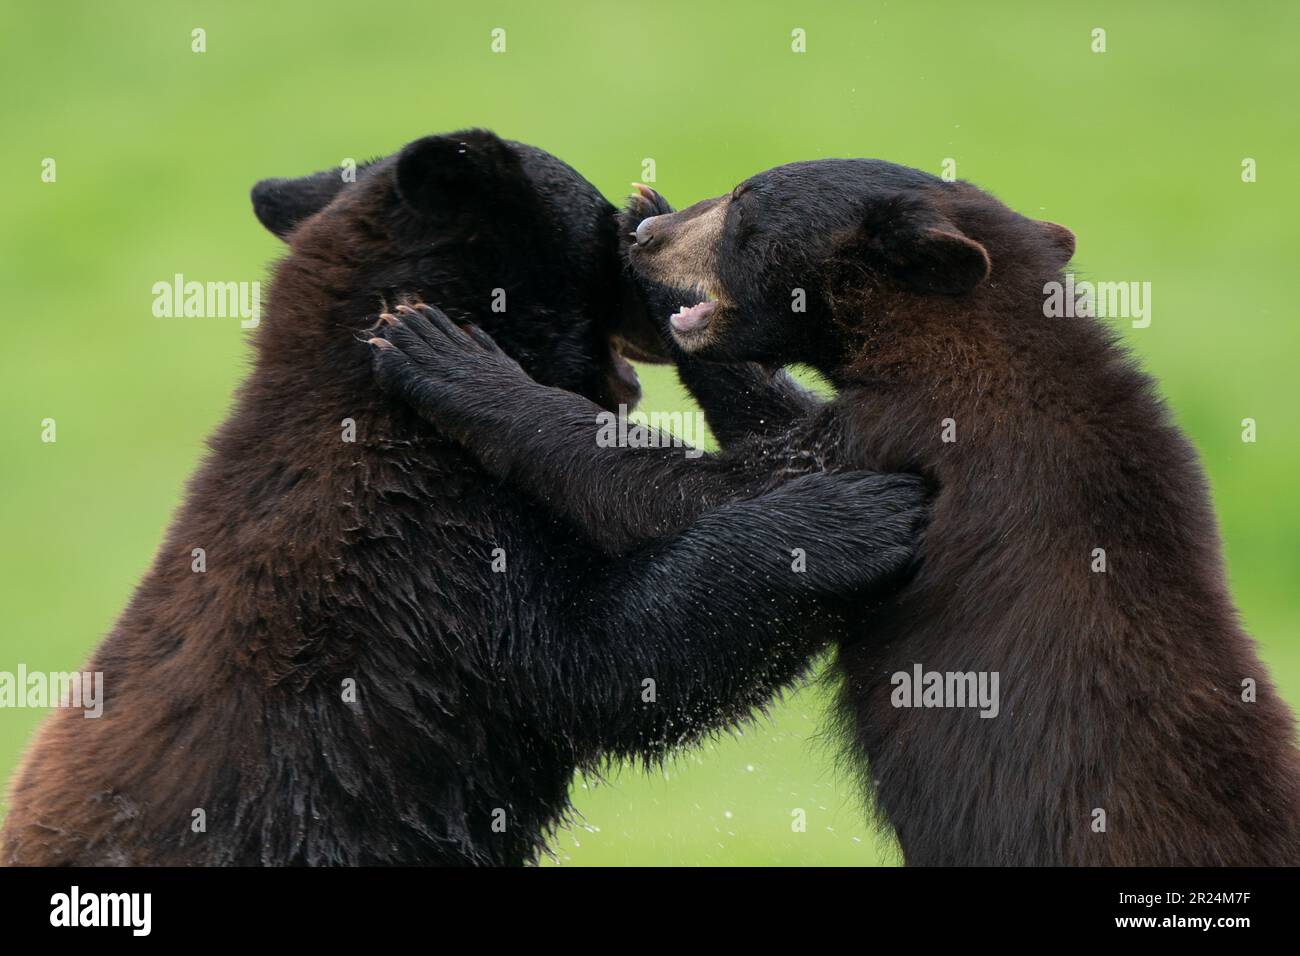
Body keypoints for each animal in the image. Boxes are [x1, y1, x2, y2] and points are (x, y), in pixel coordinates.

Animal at [0, 132, 925, 868]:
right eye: (605, 233)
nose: (650, 257)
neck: (382, 409)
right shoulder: (410, 551)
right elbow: (603, 656)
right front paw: (847, 522)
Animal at [371, 160, 1300, 863]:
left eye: (745, 202)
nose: (646, 237)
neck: (963, 336)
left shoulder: (921, 438)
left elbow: (698, 495)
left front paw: (445, 356)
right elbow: (765, 426)